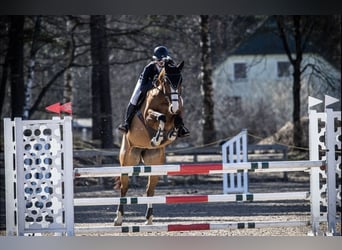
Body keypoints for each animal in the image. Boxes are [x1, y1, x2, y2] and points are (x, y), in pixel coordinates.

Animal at [114, 59, 184, 226]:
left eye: (180, 80)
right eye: (166, 81)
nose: (175, 106)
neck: (165, 99)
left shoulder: (176, 112)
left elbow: (176, 120)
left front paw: (172, 133)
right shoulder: (147, 116)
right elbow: (161, 117)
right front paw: (156, 138)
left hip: (155, 163)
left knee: (150, 190)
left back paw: (149, 219)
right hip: (127, 159)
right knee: (124, 188)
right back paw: (118, 218)